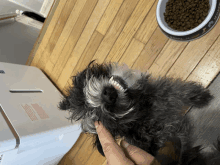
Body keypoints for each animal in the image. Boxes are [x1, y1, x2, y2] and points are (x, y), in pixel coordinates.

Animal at [58, 61, 220, 164]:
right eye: (104, 117)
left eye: (83, 94)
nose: (108, 96)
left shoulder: (160, 91)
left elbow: (179, 91)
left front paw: (200, 96)